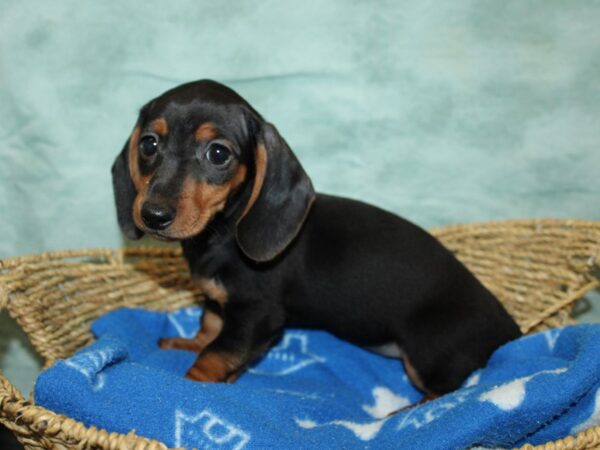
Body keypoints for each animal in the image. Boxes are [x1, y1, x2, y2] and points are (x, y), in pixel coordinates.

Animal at [111, 79, 520, 396]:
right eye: (148, 144)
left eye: (217, 153)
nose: (153, 215)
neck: (221, 235)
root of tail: (509, 329)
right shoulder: (220, 301)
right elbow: (210, 325)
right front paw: (189, 343)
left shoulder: (257, 314)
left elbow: (217, 353)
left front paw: (193, 383)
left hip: (429, 355)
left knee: (444, 393)